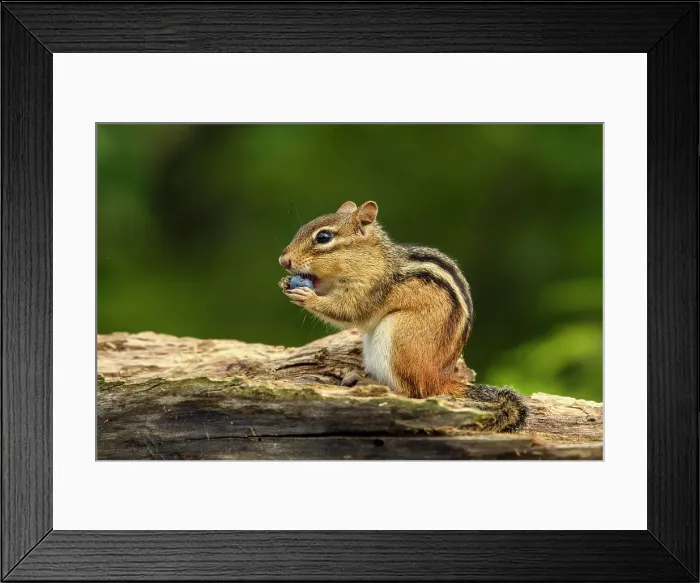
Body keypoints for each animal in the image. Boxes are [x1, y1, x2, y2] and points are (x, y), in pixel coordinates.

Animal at [278, 200, 528, 432]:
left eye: (323, 237)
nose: (283, 261)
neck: (372, 260)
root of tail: (441, 378)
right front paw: (285, 283)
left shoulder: (371, 289)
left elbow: (349, 310)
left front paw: (308, 297)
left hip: (399, 336)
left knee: (413, 392)